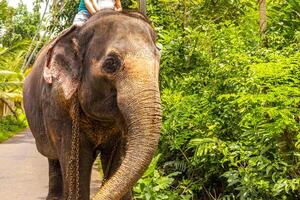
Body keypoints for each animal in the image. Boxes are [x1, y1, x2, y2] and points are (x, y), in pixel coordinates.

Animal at [23, 9, 161, 200]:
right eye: (111, 64)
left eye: (159, 60)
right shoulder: (59, 109)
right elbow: (78, 164)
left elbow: (117, 160)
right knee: (54, 159)